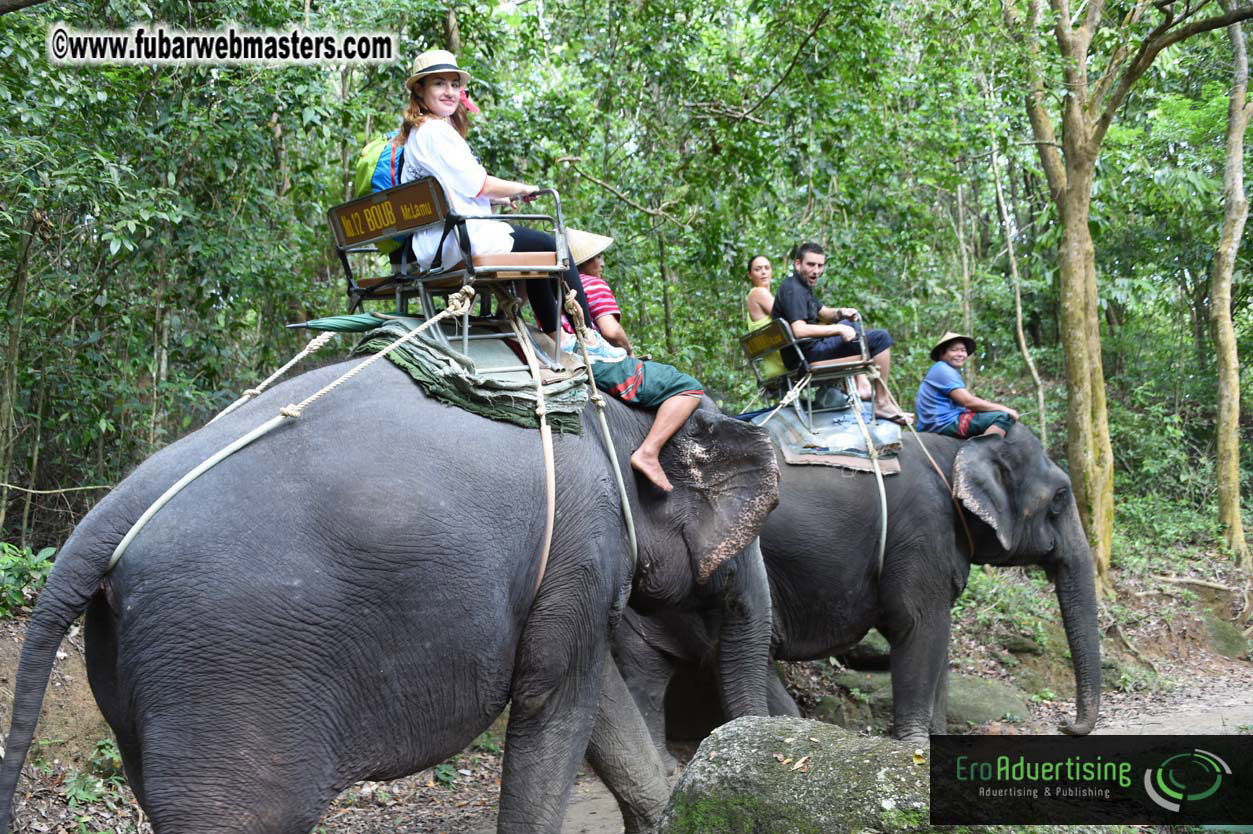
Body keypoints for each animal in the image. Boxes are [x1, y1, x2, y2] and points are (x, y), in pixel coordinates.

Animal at [0, 357, 779, 834]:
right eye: (765, 513)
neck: (604, 416)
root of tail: (107, 513)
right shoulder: (583, 550)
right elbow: (557, 703)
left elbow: (596, 700)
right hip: (225, 661)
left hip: (130, 660)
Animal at [615, 422, 1099, 751]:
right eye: (1060, 498)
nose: (1067, 726)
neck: (958, 448)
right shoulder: (921, 532)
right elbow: (918, 628)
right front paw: (914, 749)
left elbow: (936, 641)